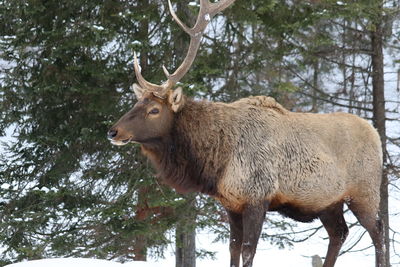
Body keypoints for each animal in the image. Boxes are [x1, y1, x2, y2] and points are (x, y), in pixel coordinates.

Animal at [107, 1, 388, 266]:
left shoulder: (257, 196)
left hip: (364, 192)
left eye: (154, 110)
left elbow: (248, 250)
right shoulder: (231, 203)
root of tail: (376, 134)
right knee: (339, 233)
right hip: (328, 201)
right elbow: (232, 248)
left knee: (377, 231)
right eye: (136, 103)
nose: (113, 131)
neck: (217, 161)